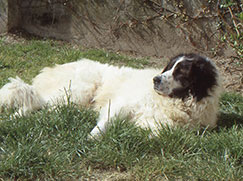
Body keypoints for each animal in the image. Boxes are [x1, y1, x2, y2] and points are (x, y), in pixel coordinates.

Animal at [0, 53, 221, 137]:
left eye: (181, 73)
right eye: (169, 67)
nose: (156, 80)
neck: (176, 101)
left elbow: (156, 133)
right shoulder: (122, 103)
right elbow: (105, 123)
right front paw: (92, 138)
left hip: (69, 102)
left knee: (46, 109)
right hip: (78, 90)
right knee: (35, 102)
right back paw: (14, 118)